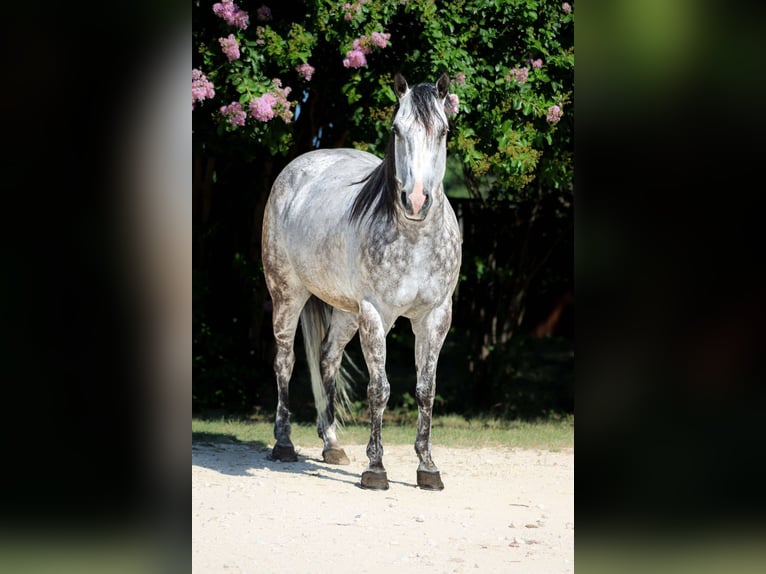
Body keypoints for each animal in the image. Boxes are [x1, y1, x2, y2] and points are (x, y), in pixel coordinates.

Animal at [261, 72, 462, 490]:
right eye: (397, 130)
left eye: (443, 131)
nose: (415, 201)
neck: (414, 239)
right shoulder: (375, 315)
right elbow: (379, 389)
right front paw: (376, 468)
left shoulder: (435, 317)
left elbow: (426, 391)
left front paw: (428, 468)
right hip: (288, 295)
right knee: (285, 361)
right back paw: (284, 444)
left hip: (345, 311)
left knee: (327, 358)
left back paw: (332, 445)